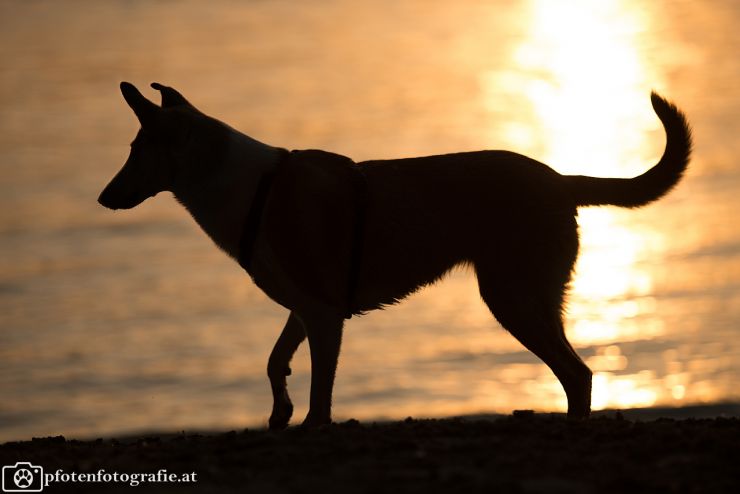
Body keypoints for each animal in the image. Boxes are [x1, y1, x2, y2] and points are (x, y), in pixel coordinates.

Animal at [99, 82, 692, 428]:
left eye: (134, 151)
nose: (103, 198)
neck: (246, 184)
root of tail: (561, 181)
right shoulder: (304, 307)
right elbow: (274, 361)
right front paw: (279, 411)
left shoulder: (324, 315)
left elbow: (320, 397)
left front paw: (307, 423)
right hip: (523, 299)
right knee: (576, 375)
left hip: (513, 299)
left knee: (579, 374)